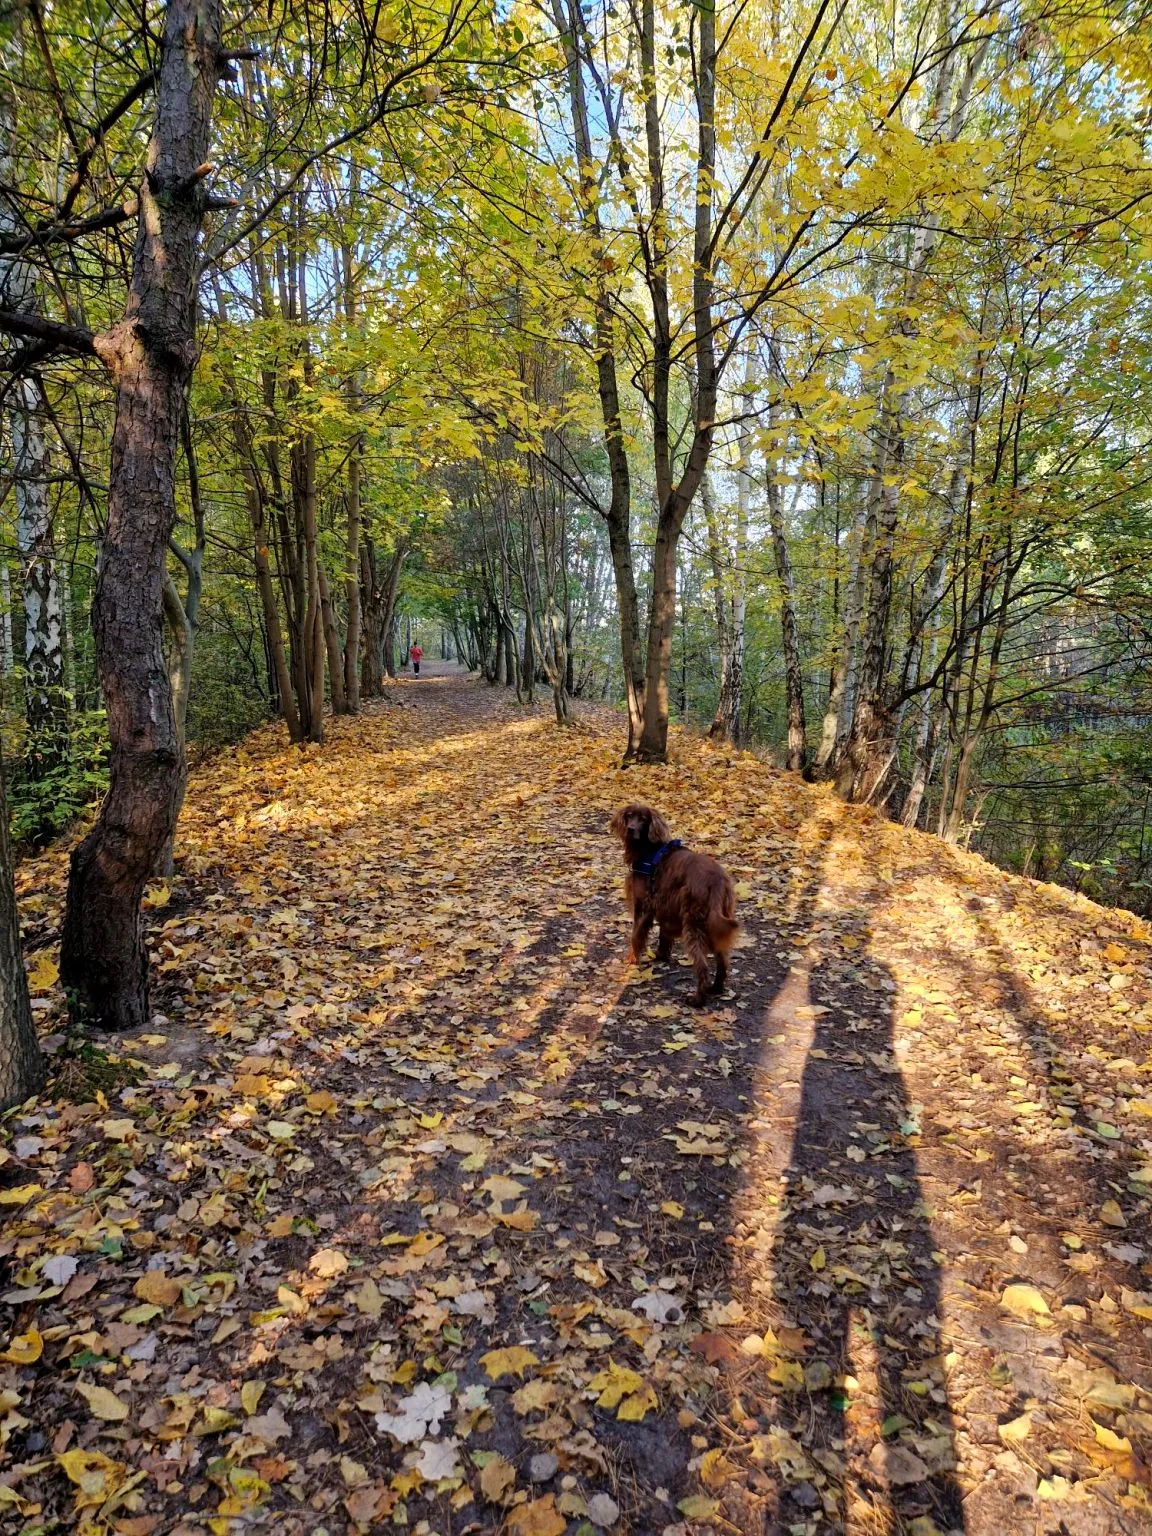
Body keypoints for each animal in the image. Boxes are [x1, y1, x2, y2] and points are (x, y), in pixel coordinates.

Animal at [608, 804, 743, 1007]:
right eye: (630, 816)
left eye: (643, 819)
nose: (631, 829)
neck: (649, 850)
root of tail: (716, 880)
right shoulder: (665, 908)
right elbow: (664, 935)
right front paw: (661, 956)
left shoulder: (643, 906)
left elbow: (635, 936)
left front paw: (632, 959)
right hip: (715, 922)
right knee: (723, 958)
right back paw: (716, 988)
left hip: (693, 923)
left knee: (702, 965)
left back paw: (698, 999)